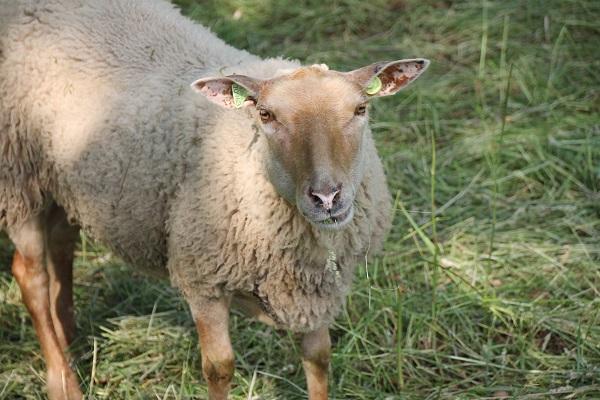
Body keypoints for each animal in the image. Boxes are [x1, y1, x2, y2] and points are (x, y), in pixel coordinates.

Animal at [2, 0, 428, 400]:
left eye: (361, 108)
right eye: (266, 115)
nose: (327, 197)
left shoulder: (319, 286)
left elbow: (319, 356)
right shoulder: (202, 276)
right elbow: (220, 368)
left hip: (63, 174)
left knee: (62, 243)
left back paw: (69, 335)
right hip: (17, 173)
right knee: (30, 276)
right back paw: (62, 380)